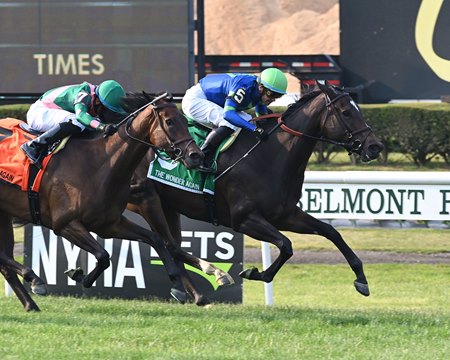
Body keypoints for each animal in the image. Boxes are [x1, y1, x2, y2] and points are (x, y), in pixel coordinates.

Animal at [0, 92, 203, 310]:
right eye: (169, 121)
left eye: (185, 120)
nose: (196, 155)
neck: (98, 164)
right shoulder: (65, 224)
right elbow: (103, 256)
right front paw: (80, 276)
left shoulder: (108, 224)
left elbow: (155, 239)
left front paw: (177, 286)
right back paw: (34, 279)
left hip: (5, 214)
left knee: (5, 261)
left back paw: (31, 303)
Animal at [126, 81, 384, 304]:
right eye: (346, 112)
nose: (375, 147)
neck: (270, 156)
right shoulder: (244, 219)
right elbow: (286, 245)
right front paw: (254, 273)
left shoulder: (285, 215)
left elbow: (331, 232)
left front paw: (361, 279)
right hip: (145, 200)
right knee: (167, 243)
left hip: (168, 206)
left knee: (173, 245)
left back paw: (190, 291)